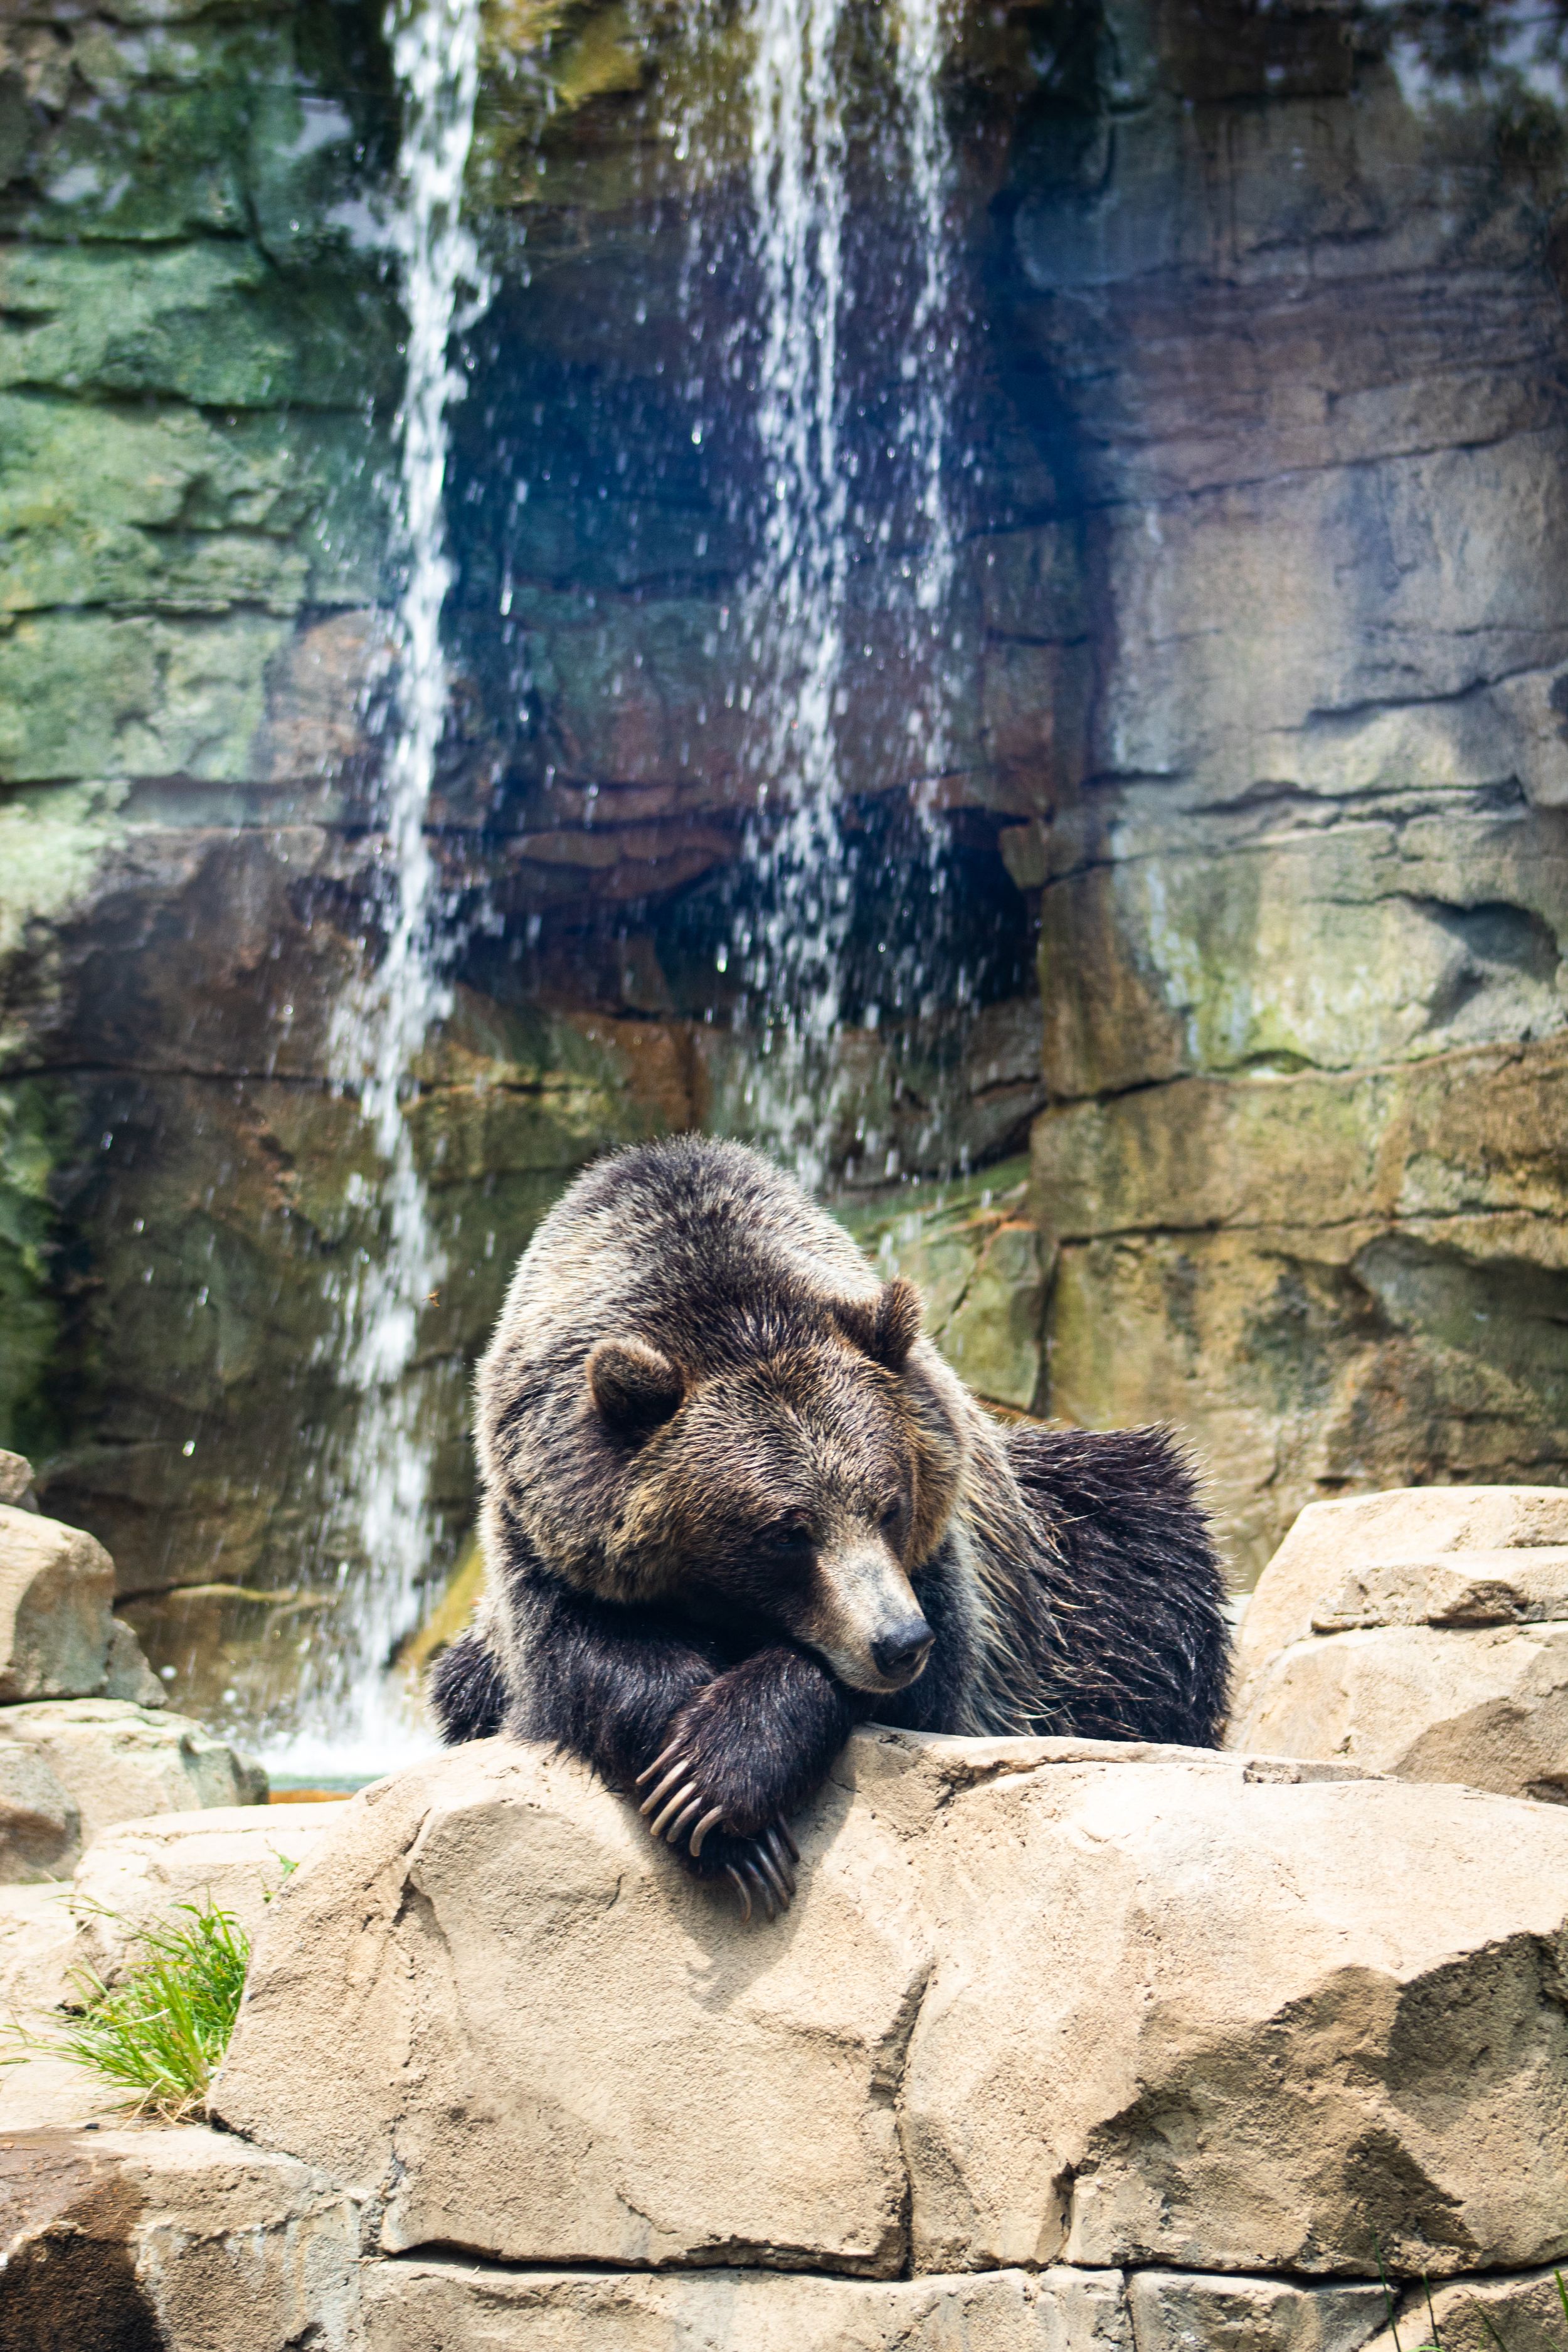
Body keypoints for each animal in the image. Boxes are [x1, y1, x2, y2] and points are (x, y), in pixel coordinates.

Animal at [431, 1135, 1229, 1920]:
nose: (897, 1643)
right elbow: (582, 1655)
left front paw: (720, 1775)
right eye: (785, 1531)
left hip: (1077, 1568)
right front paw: (712, 1815)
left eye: (890, 1504)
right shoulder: (544, 1536)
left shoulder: (947, 1571)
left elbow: (917, 1689)